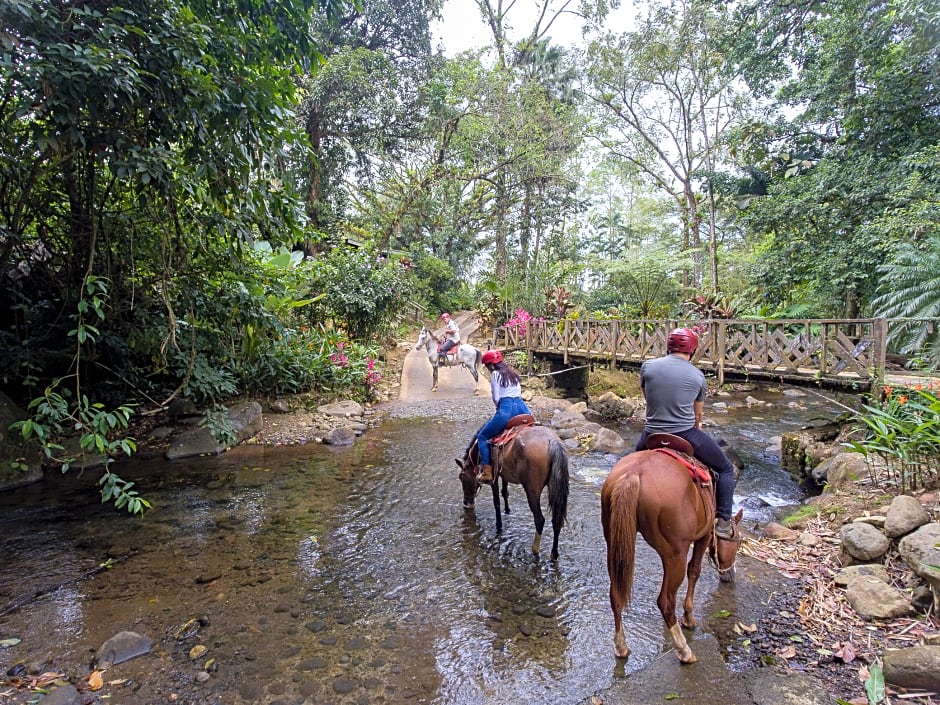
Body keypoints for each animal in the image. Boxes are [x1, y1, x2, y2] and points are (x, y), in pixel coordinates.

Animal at [458, 418, 568, 560]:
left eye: (461, 476)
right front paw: (507, 510)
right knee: (556, 521)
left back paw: (535, 550)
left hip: (532, 491)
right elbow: (505, 492)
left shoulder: (494, 477)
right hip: (556, 490)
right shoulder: (504, 473)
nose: (466, 503)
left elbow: (496, 501)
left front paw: (499, 526)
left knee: (539, 520)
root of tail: (552, 442)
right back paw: (554, 554)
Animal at [604, 442, 740, 664]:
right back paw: (684, 650)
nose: (729, 575)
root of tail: (634, 473)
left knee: (616, 594)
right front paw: (688, 618)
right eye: (738, 544)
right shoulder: (703, 536)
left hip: (614, 544)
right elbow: (694, 571)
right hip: (676, 553)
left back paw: (621, 646)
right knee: (665, 600)